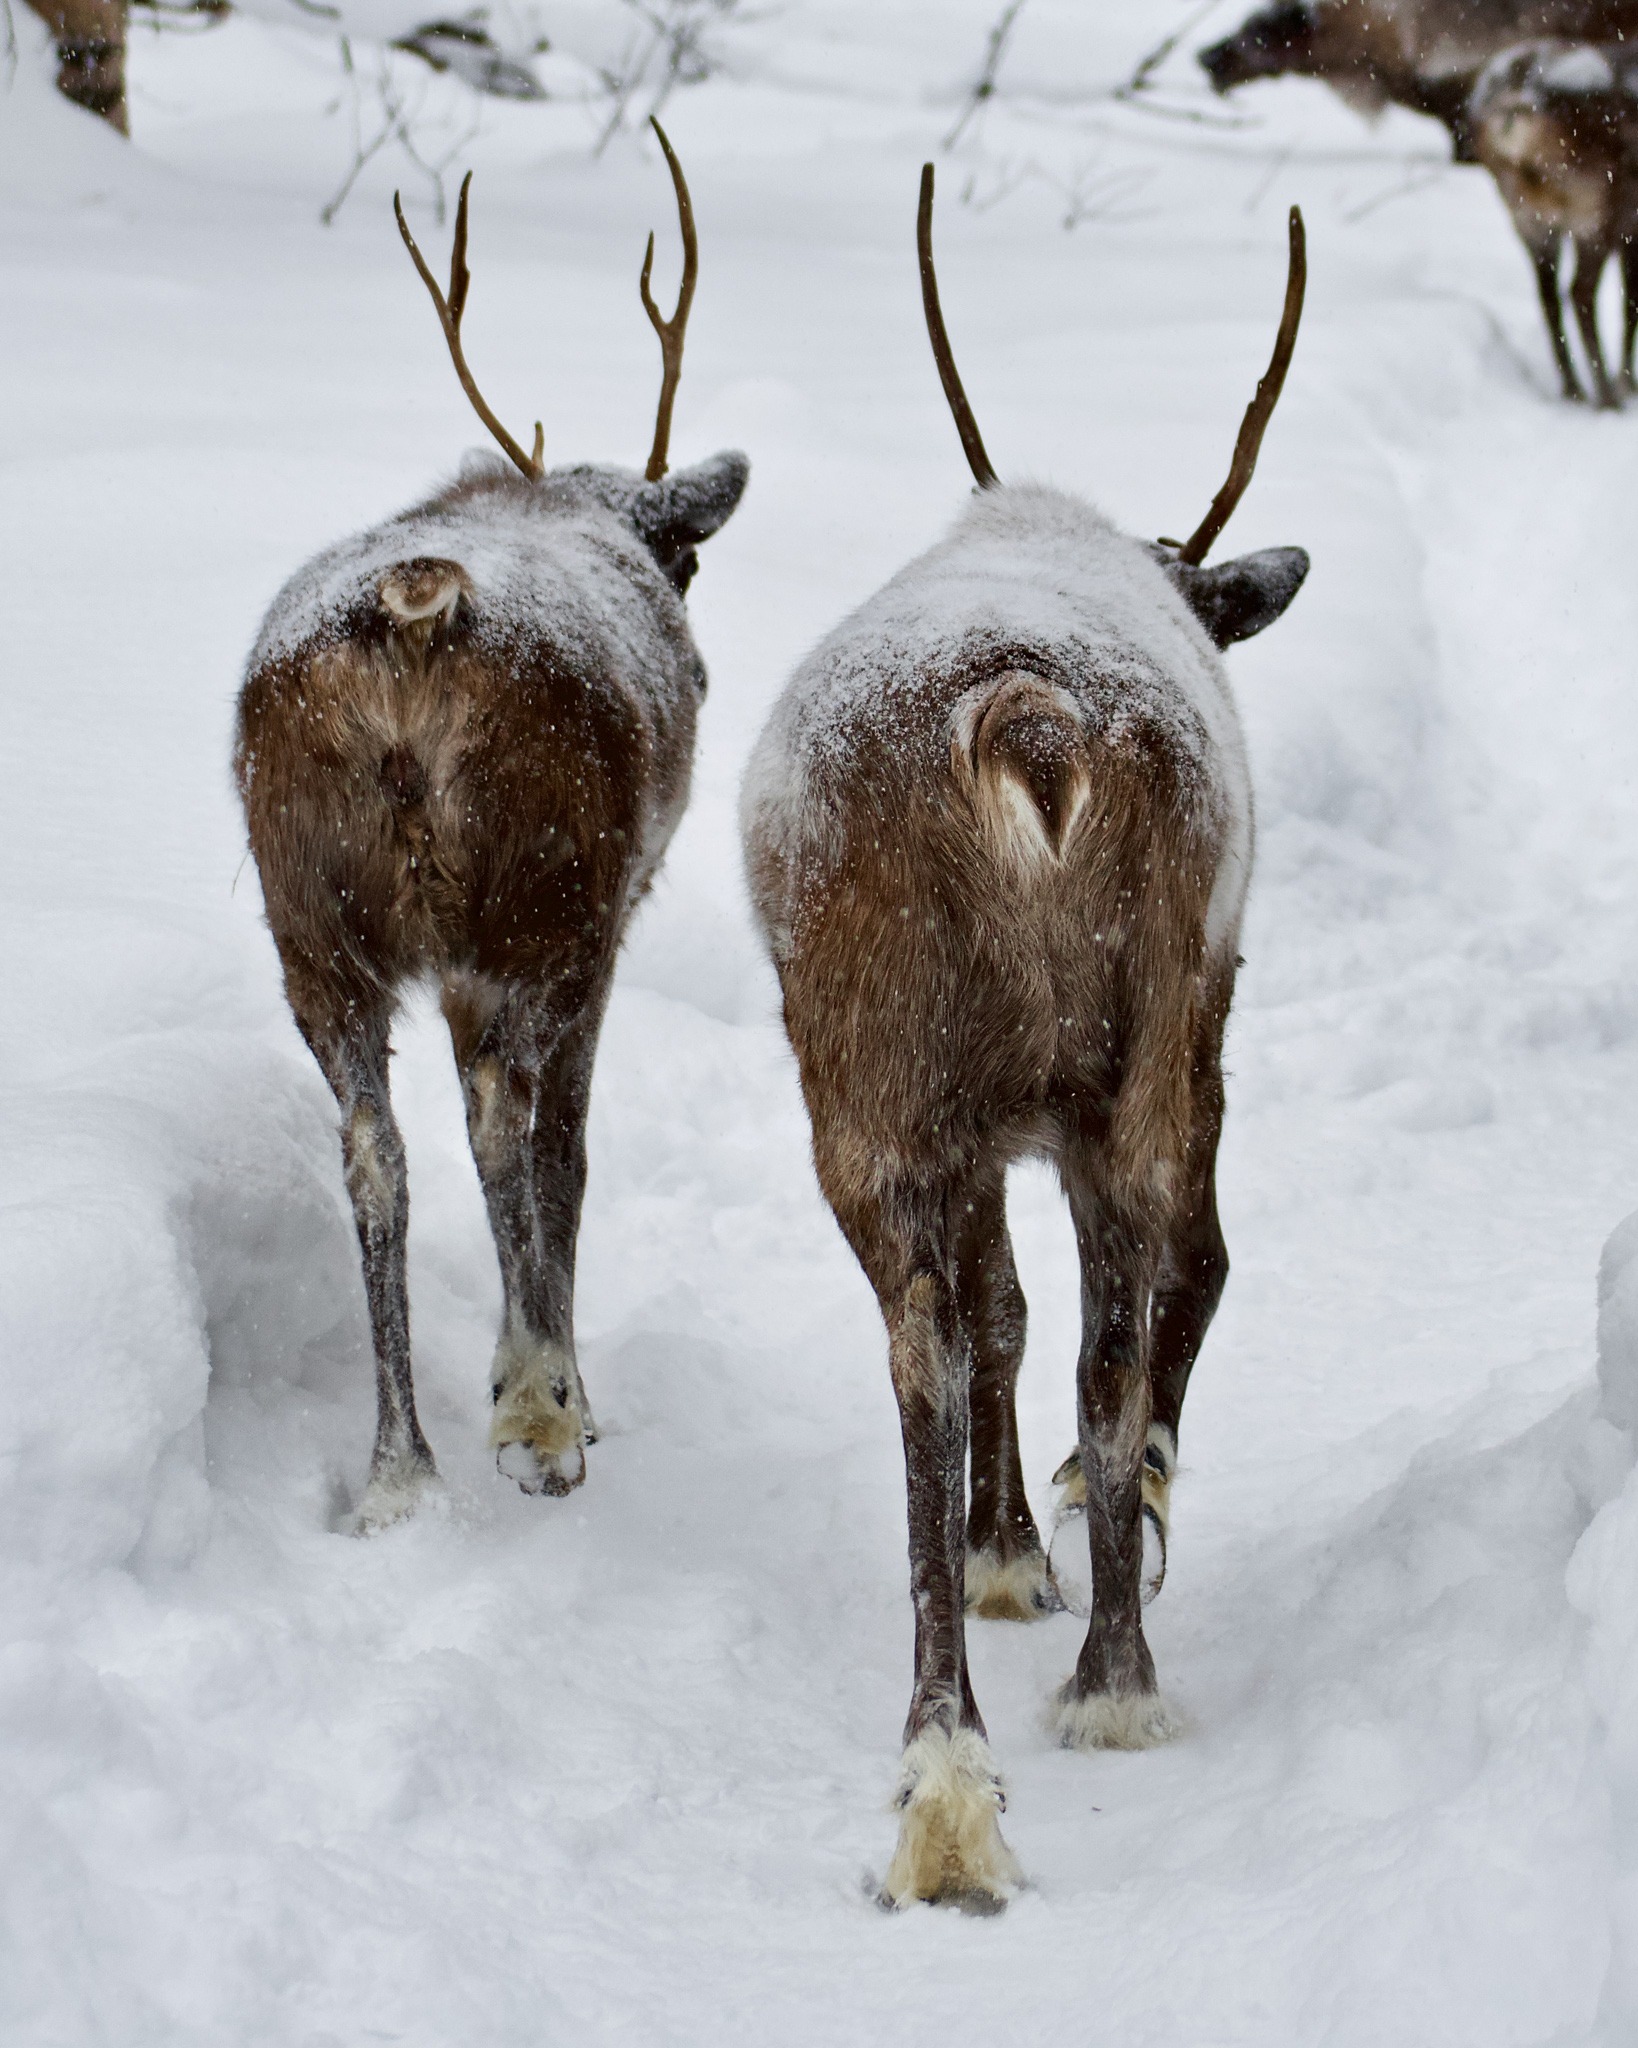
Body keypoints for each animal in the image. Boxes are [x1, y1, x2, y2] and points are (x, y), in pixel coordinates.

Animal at [234, 124, 748, 1534]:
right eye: (687, 566)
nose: (704, 665)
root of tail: (420, 615)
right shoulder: (601, 930)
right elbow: (563, 1158)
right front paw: (563, 1390)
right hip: (529, 901)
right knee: (501, 1125)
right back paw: (535, 1414)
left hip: (312, 920)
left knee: (376, 1154)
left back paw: (397, 1468)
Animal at [740, 166, 1310, 1910]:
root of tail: (1023, 715)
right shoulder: (1144, 1051)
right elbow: (1118, 1299)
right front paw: (1043, 1542)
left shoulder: (996, 1119)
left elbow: (1003, 1317)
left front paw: (1009, 1551)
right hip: (1107, 1066)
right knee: (1097, 1332)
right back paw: (1089, 1687)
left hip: (885, 1090)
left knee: (935, 1352)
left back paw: (966, 1749)